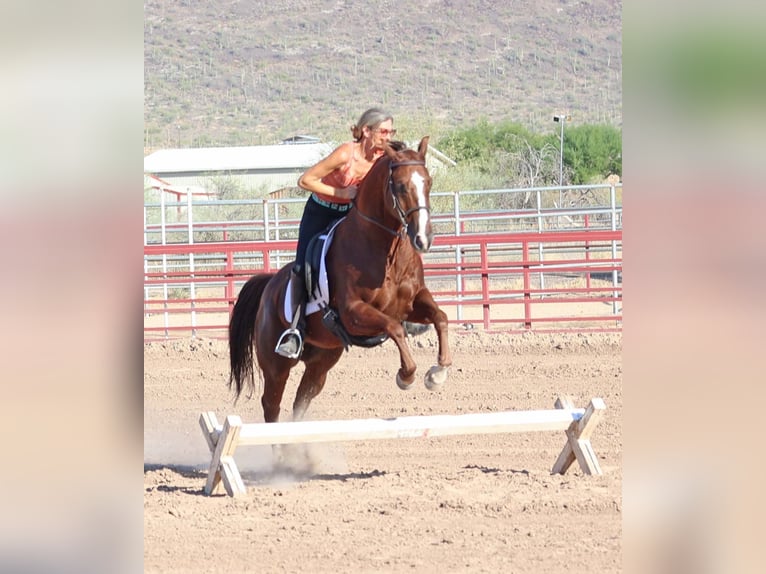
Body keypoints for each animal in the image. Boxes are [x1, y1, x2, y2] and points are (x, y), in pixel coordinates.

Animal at [226, 138, 450, 428]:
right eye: (400, 186)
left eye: (428, 182)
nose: (423, 239)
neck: (386, 252)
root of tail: (269, 286)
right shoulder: (354, 312)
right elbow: (394, 329)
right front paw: (406, 376)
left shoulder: (412, 303)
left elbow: (440, 317)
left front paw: (437, 373)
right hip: (276, 365)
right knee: (271, 404)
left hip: (322, 361)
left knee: (302, 400)